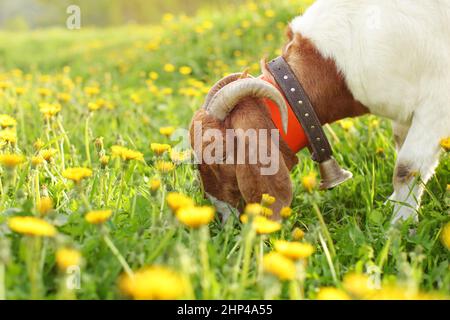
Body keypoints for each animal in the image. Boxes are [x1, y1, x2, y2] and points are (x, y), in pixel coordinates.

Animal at [190, 0, 450, 224]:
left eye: (222, 155)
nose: (220, 217)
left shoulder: (437, 105)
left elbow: (405, 168)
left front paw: (399, 227)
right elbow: (400, 145)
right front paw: (393, 205)